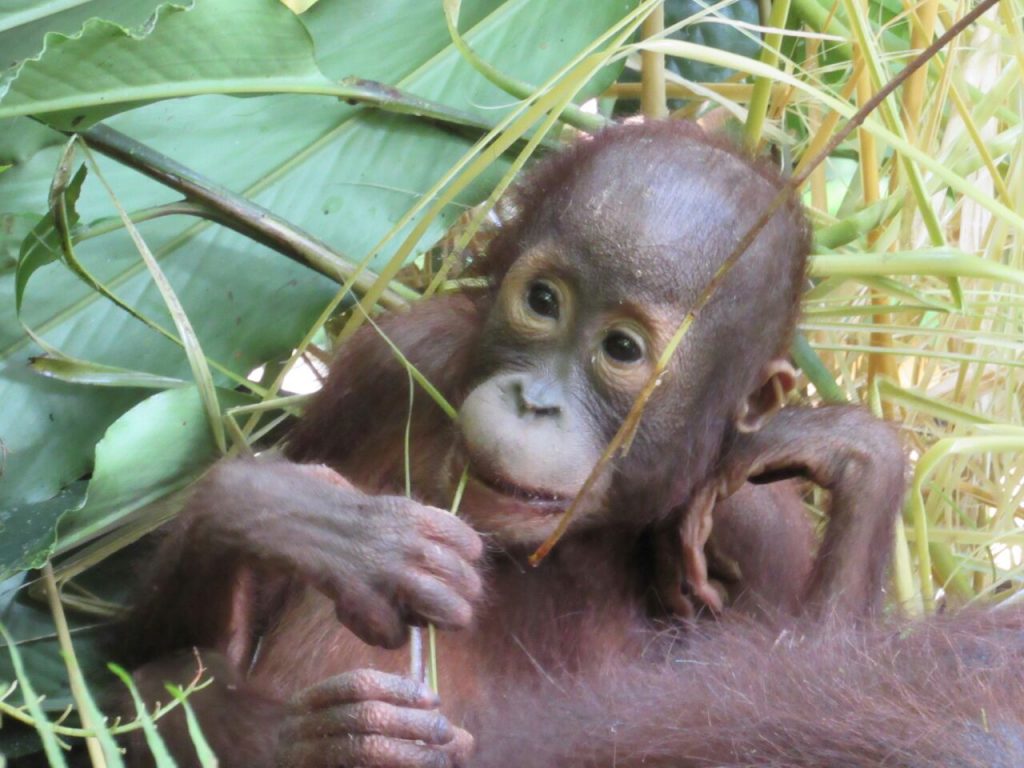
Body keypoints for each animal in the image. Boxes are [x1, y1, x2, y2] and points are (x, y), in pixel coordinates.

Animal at [120, 120, 907, 767]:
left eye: (622, 348)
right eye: (544, 302)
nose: (535, 402)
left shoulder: (760, 523)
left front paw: (854, 452)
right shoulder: (397, 359)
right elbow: (124, 660)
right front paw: (340, 533)